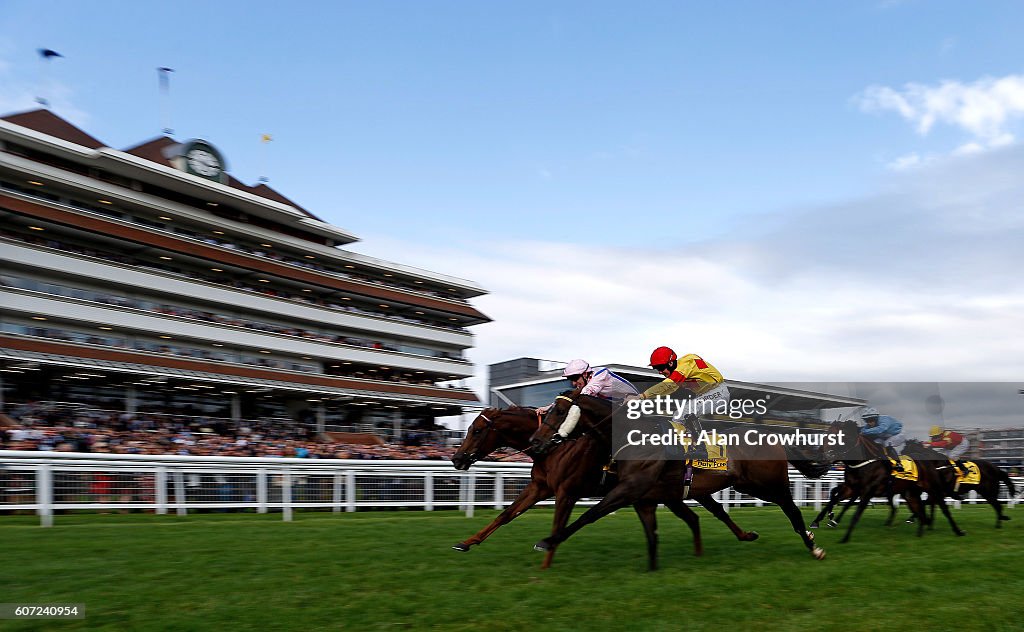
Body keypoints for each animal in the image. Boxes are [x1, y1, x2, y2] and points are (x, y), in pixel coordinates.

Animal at [452, 407, 708, 569]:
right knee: (693, 518)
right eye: (469, 428)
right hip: (669, 495)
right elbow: (506, 514)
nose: (456, 458)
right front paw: (466, 543)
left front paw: (545, 563)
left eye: (477, 431)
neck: (554, 447)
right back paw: (698, 554)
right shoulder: (539, 487)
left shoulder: (567, 493)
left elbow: (557, 526)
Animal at [528, 393, 831, 561]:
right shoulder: (648, 493)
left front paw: (548, 541)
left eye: (559, 411)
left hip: (768, 484)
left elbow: (590, 514)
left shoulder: (630, 488)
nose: (535, 442)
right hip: (745, 484)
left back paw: (813, 546)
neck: (632, 436)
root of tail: (775, 436)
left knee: (791, 509)